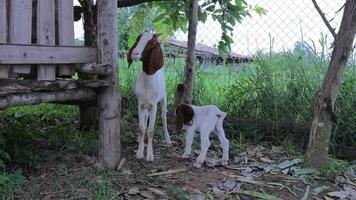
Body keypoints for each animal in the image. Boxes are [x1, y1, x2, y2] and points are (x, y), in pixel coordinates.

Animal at [127, 32, 172, 162]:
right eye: (138, 39)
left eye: (152, 43)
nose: (134, 53)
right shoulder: (140, 104)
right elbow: (142, 128)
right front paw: (139, 151)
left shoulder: (154, 105)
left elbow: (151, 130)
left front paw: (150, 155)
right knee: (145, 119)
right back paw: (139, 139)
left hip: (163, 99)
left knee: (163, 117)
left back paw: (168, 139)